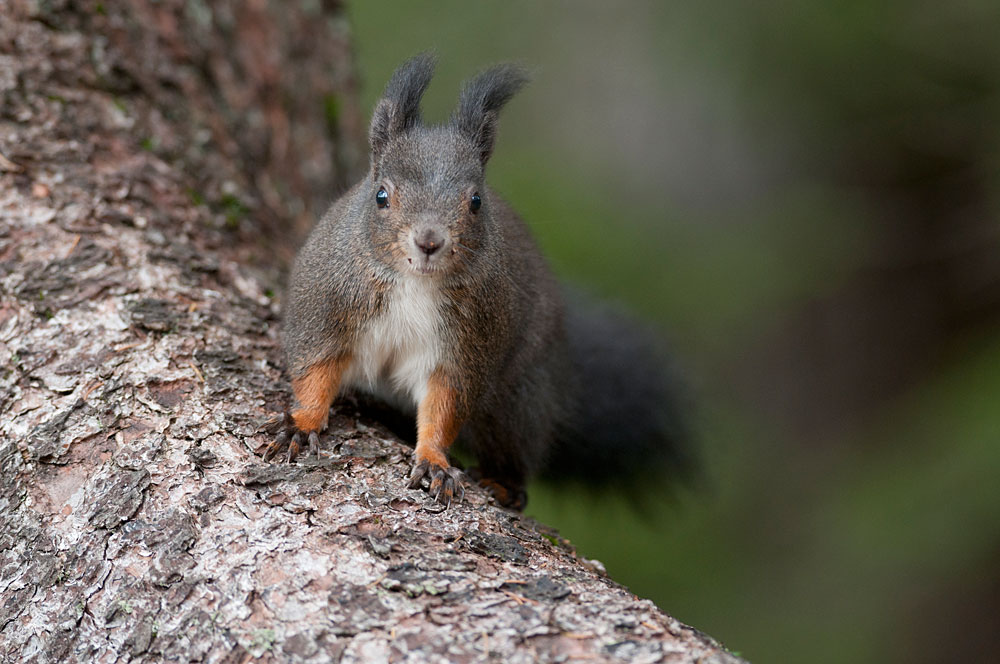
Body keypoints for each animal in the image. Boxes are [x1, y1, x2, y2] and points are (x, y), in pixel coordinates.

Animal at [262, 54, 692, 508]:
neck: (415, 282)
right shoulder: (327, 306)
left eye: (476, 201)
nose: (429, 241)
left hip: (516, 405)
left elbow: (445, 403)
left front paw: (434, 460)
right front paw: (302, 423)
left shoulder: (466, 345)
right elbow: (315, 370)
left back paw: (502, 484)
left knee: (515, 455)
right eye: (381, 195)